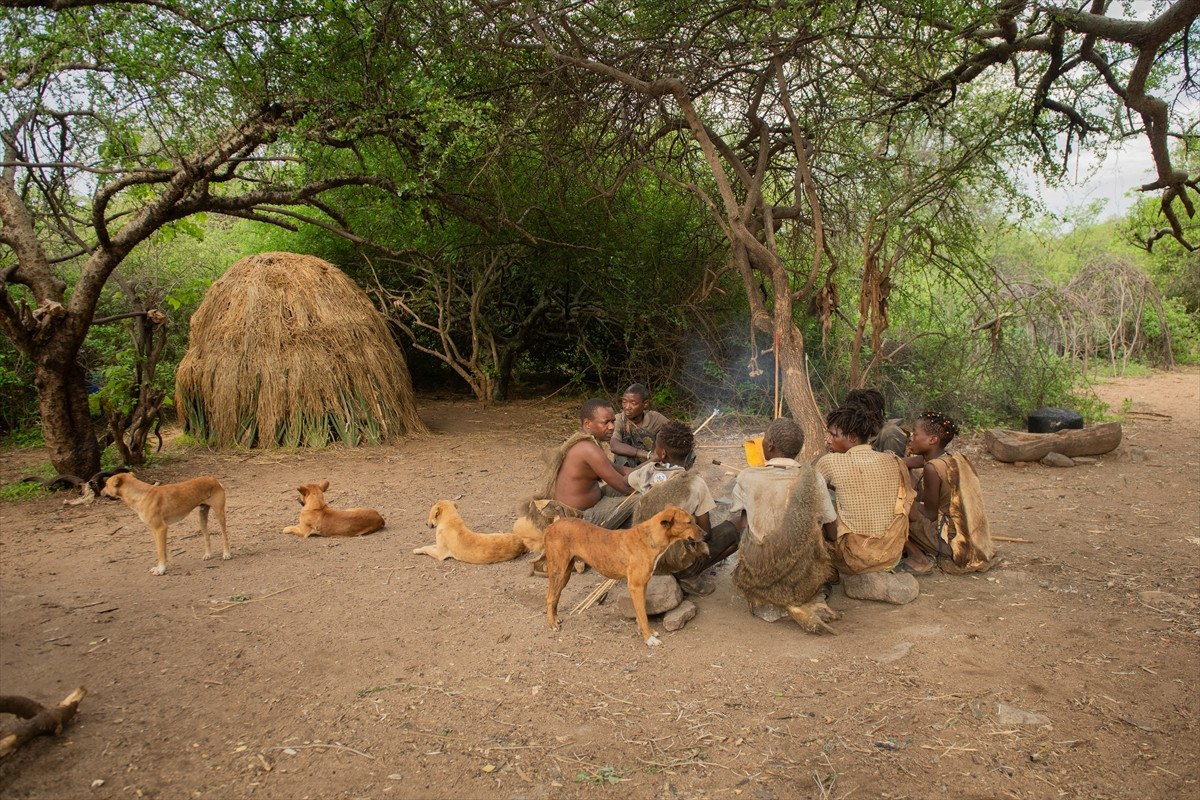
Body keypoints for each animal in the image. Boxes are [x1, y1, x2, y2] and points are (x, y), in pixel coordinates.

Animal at [544, 510, 700, 647]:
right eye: (689, 522)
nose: (704, 534)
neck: (648, 538)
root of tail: (553, 525)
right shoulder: (635, 586)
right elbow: (643, 615)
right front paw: (648, 638)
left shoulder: (643, 585)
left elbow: (641, 612)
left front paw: (645, 632)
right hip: (558, 571)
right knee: (550, 597)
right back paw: (552, 623)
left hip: (565, 575)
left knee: (556, 596)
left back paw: (555, 618)